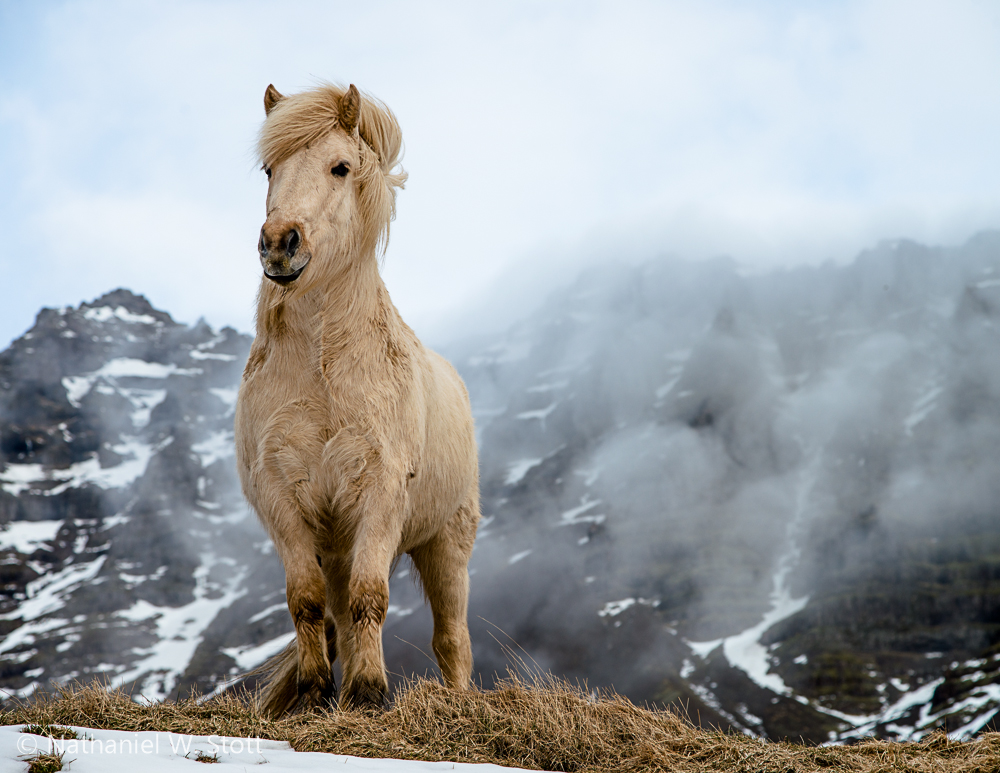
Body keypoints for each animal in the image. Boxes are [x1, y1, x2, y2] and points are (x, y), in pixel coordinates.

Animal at [236, 81, 482, 716]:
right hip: (338, 544)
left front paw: (371, 694)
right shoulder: (282, 497)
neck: (324, 369)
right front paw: (317, 692)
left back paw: (456, 699)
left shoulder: (381, 491)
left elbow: (372, 597)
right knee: (341, 617)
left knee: (452, 636)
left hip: (447, 543)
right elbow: (306, 601)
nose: (279, 245)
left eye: (340, 167)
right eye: (269, 169)